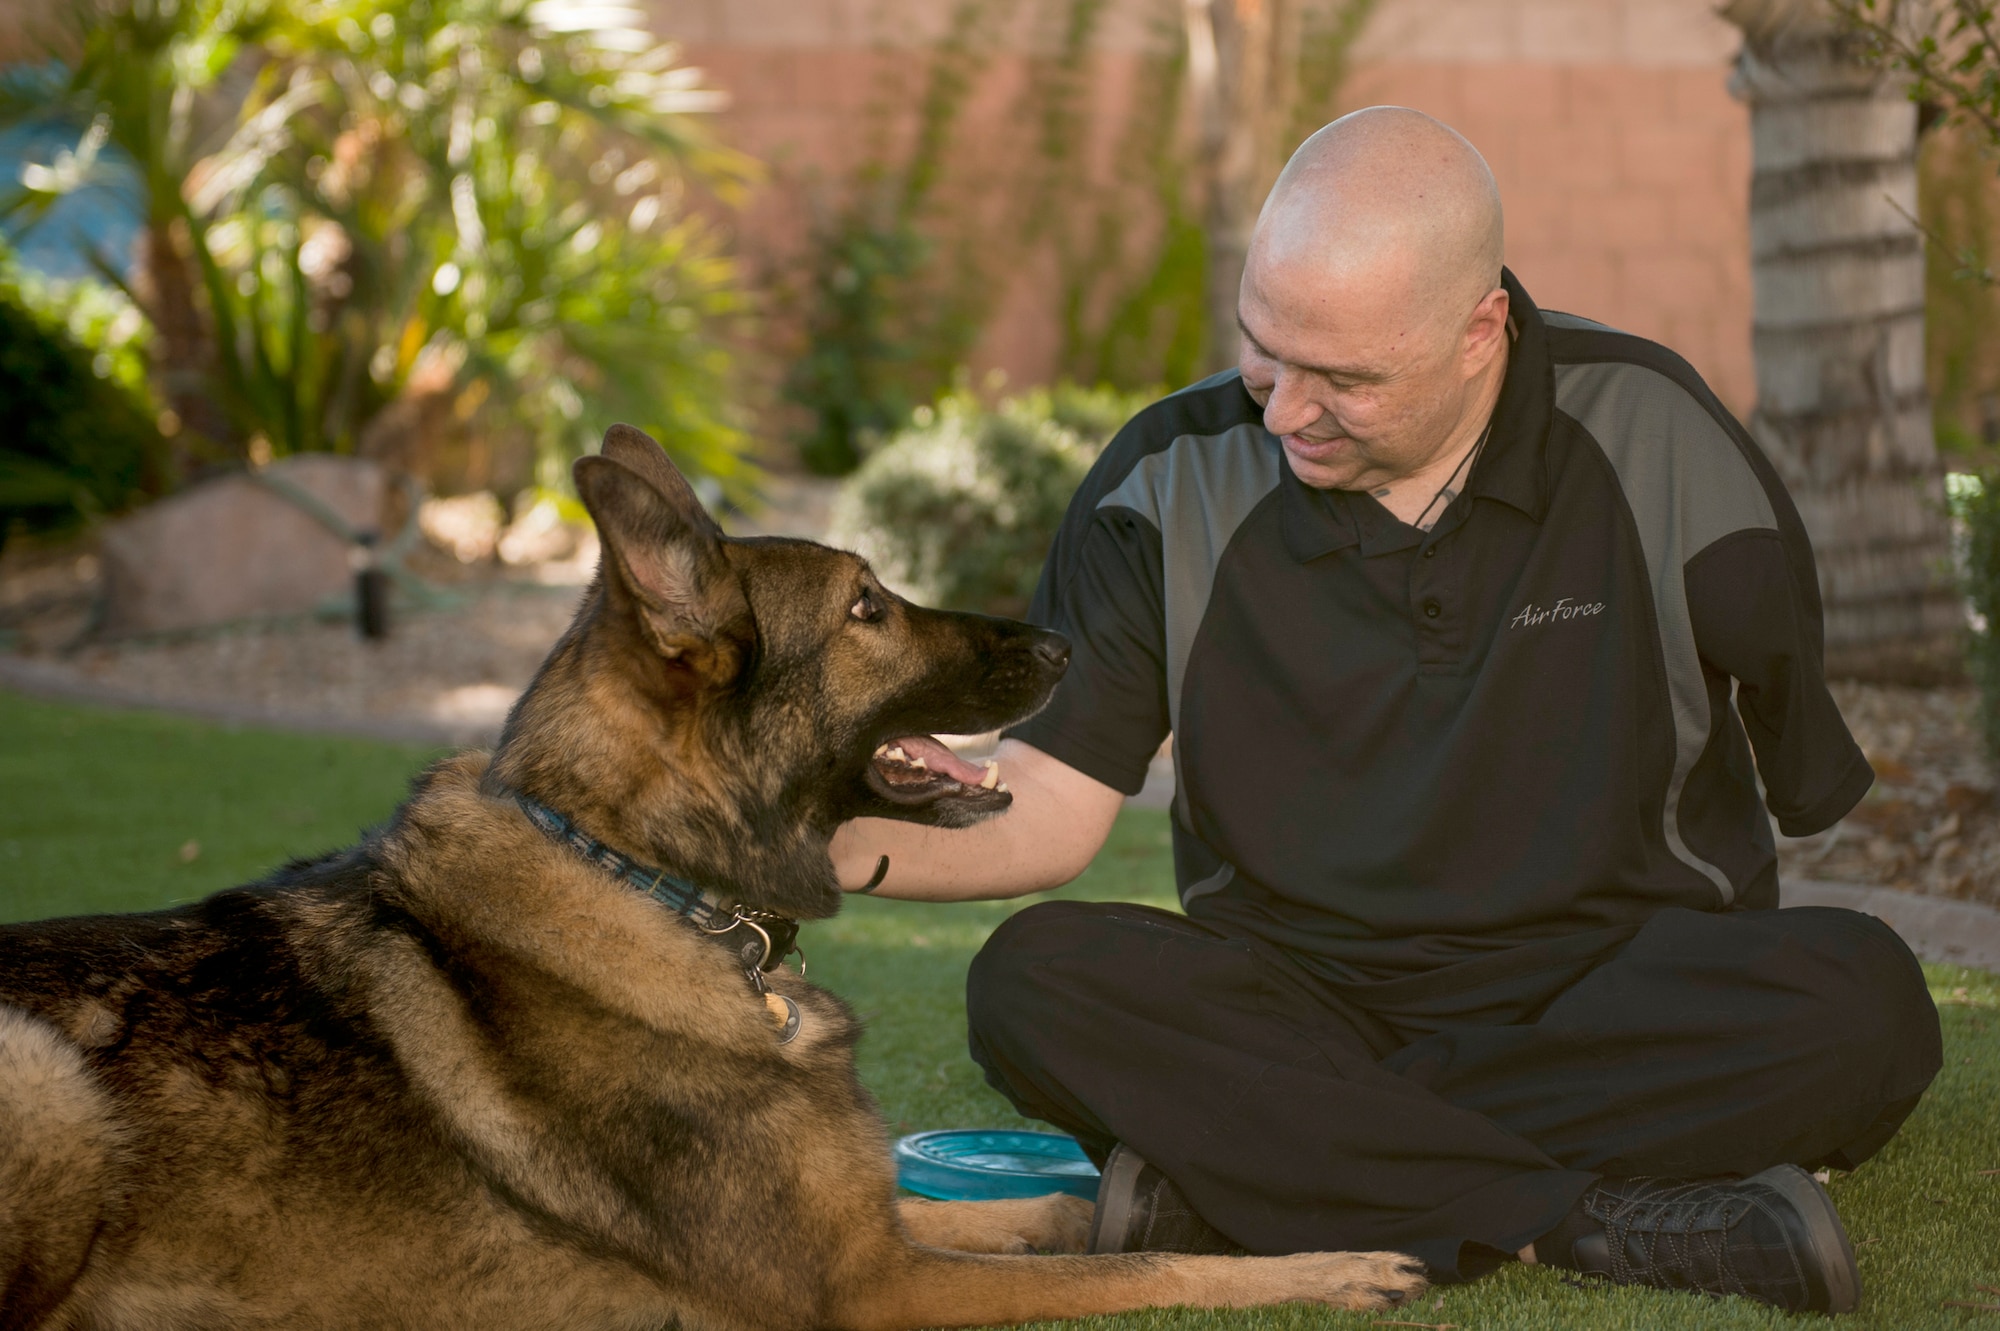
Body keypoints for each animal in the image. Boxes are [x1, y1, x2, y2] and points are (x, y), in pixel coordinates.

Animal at [0, 427, 1424, 1327]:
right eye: (866, 609)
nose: (1064, 645)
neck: (656, 886)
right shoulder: (868, 1288)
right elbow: (1123, 1278)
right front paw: (1329, 1262)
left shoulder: (867, 1227)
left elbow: (1036, 1217)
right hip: (44, 1079)